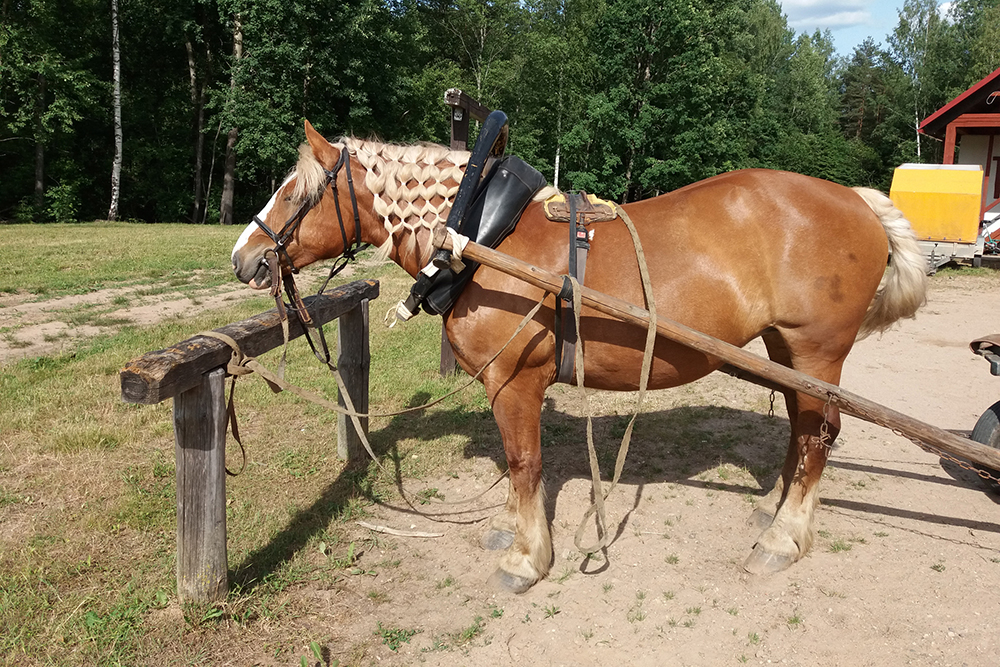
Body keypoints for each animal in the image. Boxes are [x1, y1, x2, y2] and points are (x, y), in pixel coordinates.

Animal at [234, 118, 928, 588]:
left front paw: (526, 559)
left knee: (818, 437)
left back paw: (785, 537)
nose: (245, 258)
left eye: (295, 193)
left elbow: (523, 463)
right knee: (802, 430)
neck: (480, 237)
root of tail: (858, 199)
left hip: (816, 352)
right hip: (785, 351)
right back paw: (773, 513)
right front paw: (513, 532)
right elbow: (519, 470)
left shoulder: (513, 382)